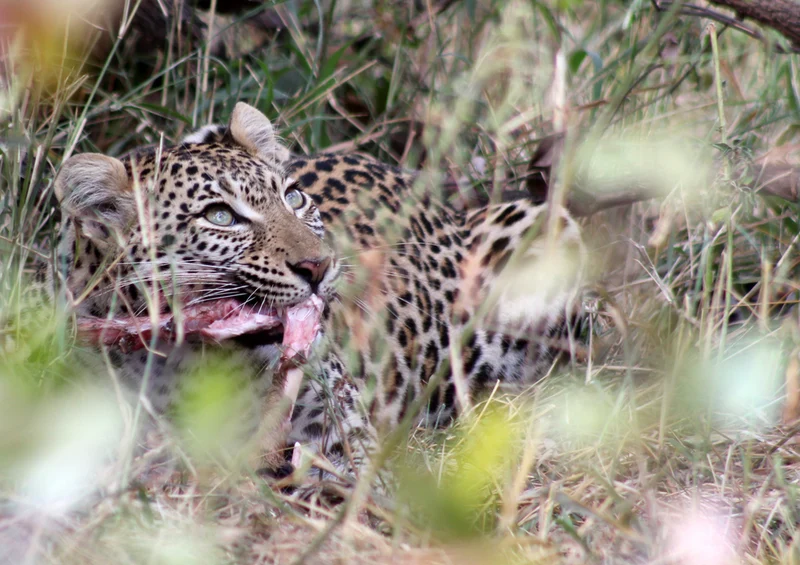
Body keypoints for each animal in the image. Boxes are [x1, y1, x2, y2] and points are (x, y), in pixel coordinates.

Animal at [50, 102, 585, 475]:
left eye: (293, 197)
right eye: (219, 217)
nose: (320, 266)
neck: (193, 363)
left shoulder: (343, 440)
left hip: (543, 227)